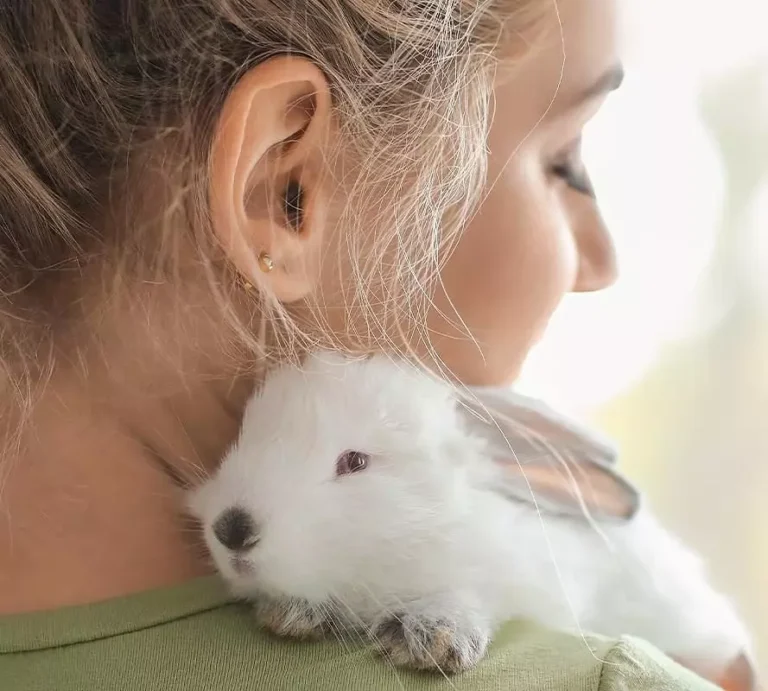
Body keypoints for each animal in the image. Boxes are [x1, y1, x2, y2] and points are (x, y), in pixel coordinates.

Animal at [188, 351, 757, 689]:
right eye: (242, 439)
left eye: (355, 462)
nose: (232, 529)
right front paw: (293, 613)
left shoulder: (526, 578)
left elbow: (472, 599)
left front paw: (429, 639)